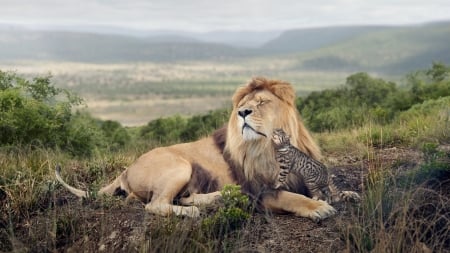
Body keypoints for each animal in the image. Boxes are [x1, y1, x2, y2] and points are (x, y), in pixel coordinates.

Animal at [56, 77, 336, 221]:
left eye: (262, 102)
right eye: (242, 105)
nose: (242, 113)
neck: (268, 147)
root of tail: (126, 170)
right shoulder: (260, 191)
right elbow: (290, 197)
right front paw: (318, 208)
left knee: (177, 197)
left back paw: (218, 198)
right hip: (180, 165)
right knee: (156, 204)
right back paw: (191, 211)